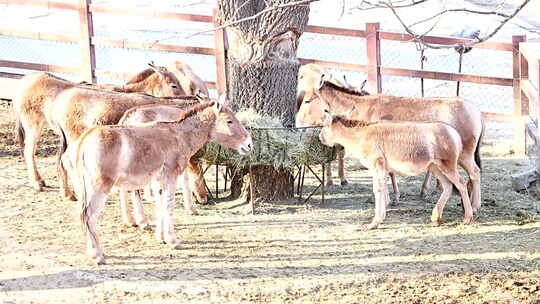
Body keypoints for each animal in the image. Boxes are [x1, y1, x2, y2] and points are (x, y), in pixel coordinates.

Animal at [62, 100, 252, 264]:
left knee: (82, 215)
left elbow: (160, 206)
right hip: (99, 187)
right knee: (89, 215)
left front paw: (161, 238)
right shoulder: (170, 177)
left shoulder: (159, 181)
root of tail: (85, 140)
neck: (179, 136)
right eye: (229, 121)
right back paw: (98, 255)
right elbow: (168, 207)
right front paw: (173, 240)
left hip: (84, 188)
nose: (249, 144)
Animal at [320, 113, 472, 229]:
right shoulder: (379, 170)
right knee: (448, 187)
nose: (320, 137)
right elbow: (382, 190)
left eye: (324, 126)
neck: (361, 135)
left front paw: (374, 223)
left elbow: (378, 190)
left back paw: (467, 218)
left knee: (461, 184)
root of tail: (454, 132)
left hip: (448, 167)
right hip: (436, 168)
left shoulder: (378, 165)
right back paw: (436, 217)